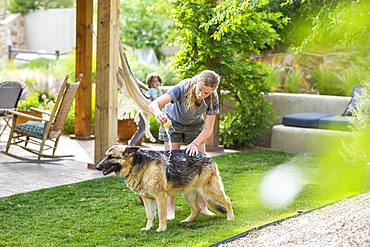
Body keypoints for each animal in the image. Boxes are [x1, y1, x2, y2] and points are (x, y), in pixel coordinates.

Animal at [95, 145, 234, 232]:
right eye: (106, 155)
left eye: (111, 157)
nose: (97, 167)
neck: (136, 165)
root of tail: (207, 156)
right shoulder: (147, 199)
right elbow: (150, 215)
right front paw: (148, 228)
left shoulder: (160, 197)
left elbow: (161, 214)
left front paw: (161, 229)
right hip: (189, 195)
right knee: (197, 209)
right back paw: (187, 221)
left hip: (210, 191)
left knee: (227, 200)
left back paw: (230, 217)